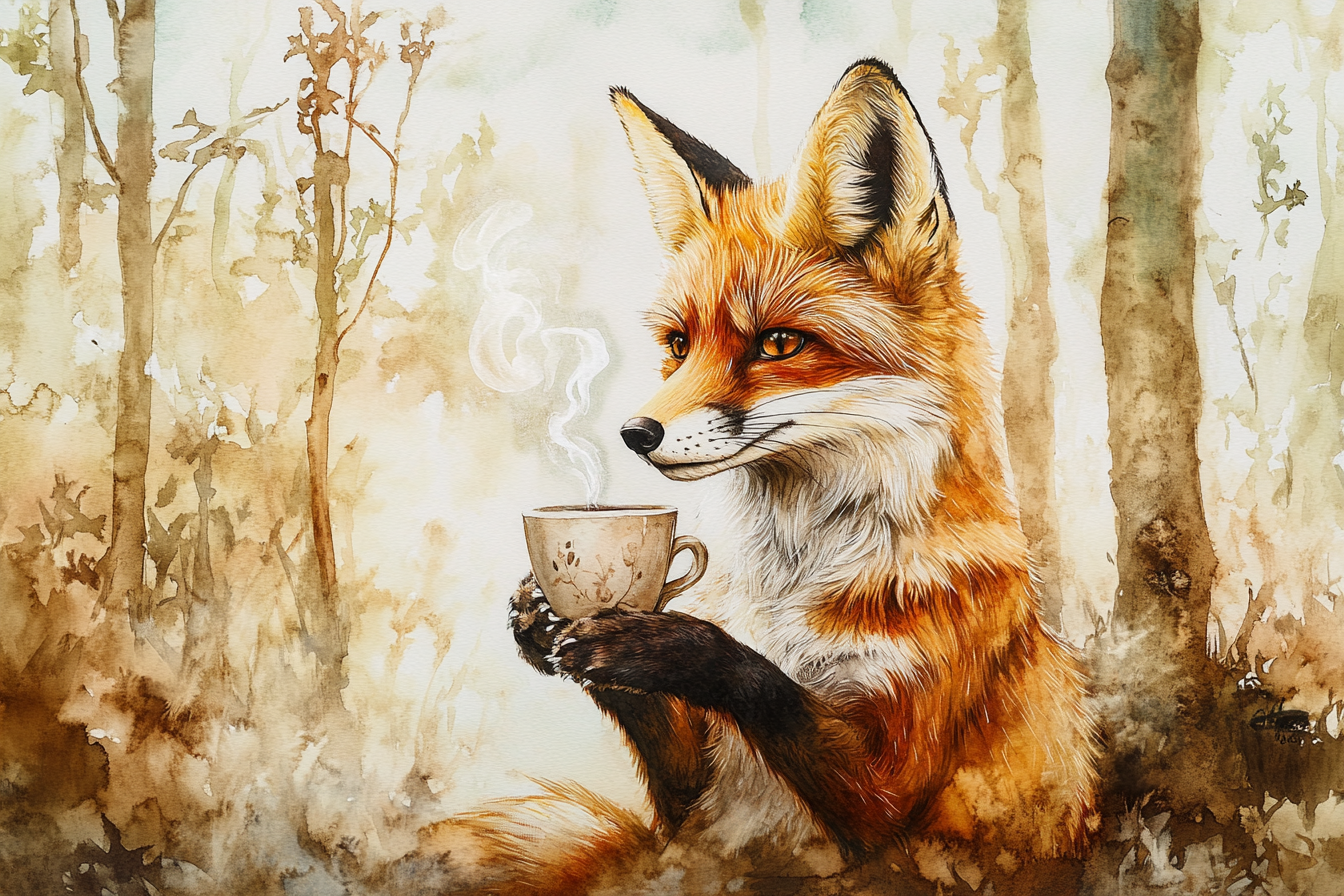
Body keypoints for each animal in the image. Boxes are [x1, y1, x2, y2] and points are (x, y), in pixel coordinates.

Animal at [410, 59, 1100, 894]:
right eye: (679, 343)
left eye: (778, 343)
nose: (636, 435)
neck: (792, 583)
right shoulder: (694, 805)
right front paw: (548, 619)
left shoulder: (897, 802)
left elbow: (765, 684)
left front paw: (662, 644)